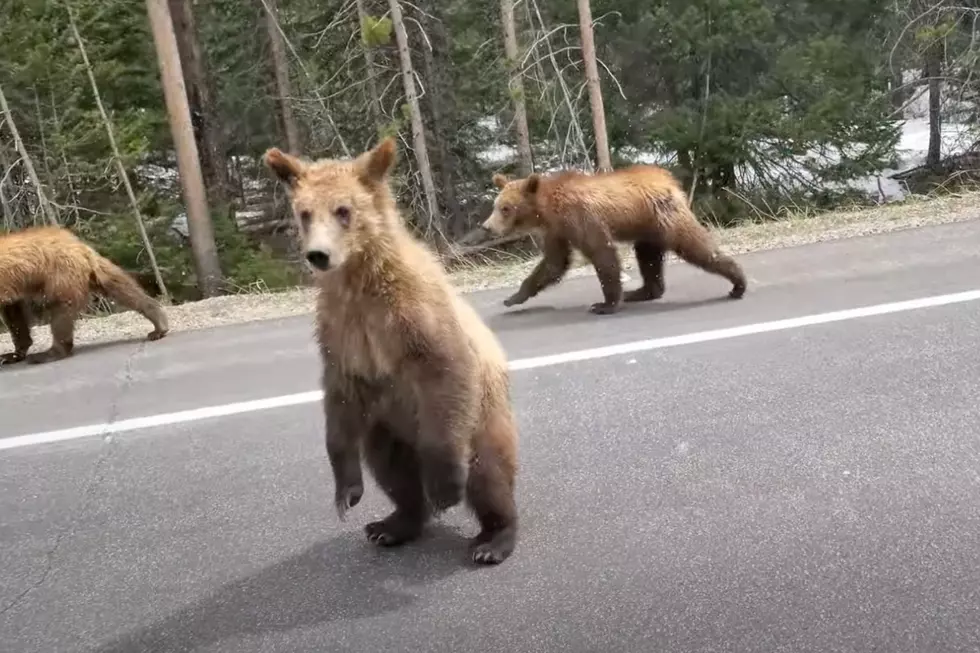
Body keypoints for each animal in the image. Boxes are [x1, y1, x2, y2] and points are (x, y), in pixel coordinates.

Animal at [0, 225, 169, 365]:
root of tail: (80, 246)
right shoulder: (10, 294)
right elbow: (14, 316)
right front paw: (13, 353)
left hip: (60, 275)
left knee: (61, 311)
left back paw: (50, 353)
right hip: (87, 273)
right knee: (124, 288)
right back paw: (159, 326)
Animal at [263, 137, 520, 565]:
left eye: (343, 210)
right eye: (304, 212)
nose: (318, 255)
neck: (360, 283)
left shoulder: (415, 318)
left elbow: (445, 368)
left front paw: (447, 490)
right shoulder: (341, 332)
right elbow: (339, 398)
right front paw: (346, 493)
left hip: (481, 417)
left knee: (490, 473)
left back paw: (493, 540)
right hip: (386, 426)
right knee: (393, 473)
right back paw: (392, 524)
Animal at [480, 164, 748, 314]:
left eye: (505, 208)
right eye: (496, 205)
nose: (487, 227)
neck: (548, 210)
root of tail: (668, 179)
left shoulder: (580, 218)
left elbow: (602, 254)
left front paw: (604, 305)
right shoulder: (557, 231)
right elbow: (554, 263)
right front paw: (513, 297)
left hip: (665, 216)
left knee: (695, 245)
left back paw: (738, 283)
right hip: (647, 228)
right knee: (648, 258)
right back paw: (640, 291)